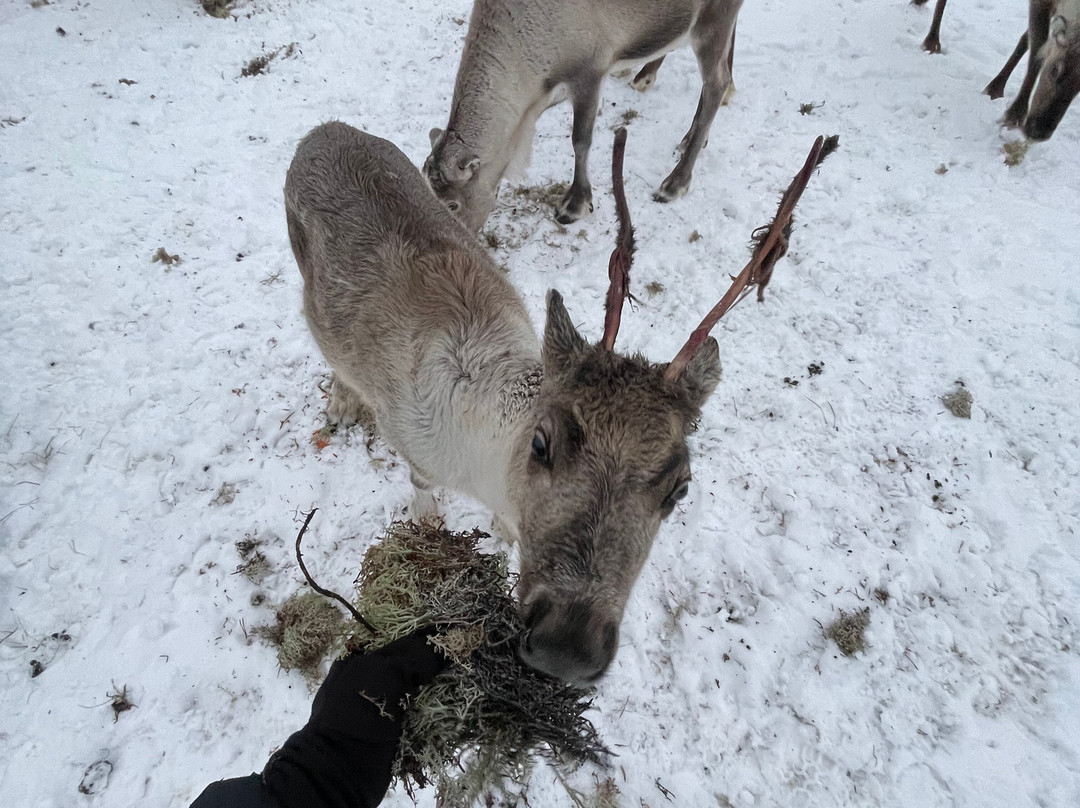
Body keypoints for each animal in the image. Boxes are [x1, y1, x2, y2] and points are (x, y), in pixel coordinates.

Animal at [285, 120, 827, 684]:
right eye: (540, 445)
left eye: (680, 489)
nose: (565, 648)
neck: (480, 465)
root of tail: (324, 129)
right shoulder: (407, 433)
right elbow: (419, 483)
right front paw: (427, 517)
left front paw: (502, 533)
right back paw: (340, 405)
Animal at [423, 0, 745, 231]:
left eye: (452, 204)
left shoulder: (590, 71)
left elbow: (580, 140)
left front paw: (575, 204)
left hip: (712, 19)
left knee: (716, 82)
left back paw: (675, 182)